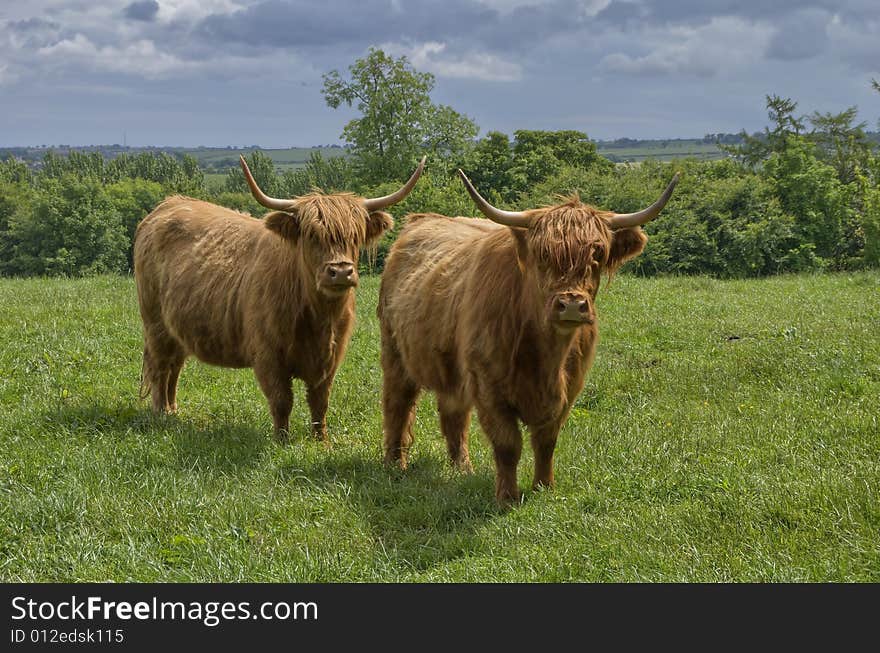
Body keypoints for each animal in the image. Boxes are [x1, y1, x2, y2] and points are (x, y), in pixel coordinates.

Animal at [135, 153, 426, 440]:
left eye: (355, 236)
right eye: (312, 236)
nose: (341, 272)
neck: (318, 316)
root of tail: (168, 204)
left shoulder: (331, 357)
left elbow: (320, 401)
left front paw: (321, 441)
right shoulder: (268, 355)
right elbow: (281, 400)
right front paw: (281, 440)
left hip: (177, 327)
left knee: (174, 365)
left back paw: (173, 410)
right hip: (155, 322)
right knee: (160, 365)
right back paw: (161, 414)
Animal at [380, 171, 680, 502]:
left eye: (598, 252)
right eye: (543, 254)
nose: (571, 304)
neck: (545, 355)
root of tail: (421, 220)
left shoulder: (570, 388)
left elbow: (546, 441)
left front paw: (545, 487)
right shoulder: (488, 386)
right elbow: (508, 444)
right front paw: (507, 497)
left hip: (450, 368)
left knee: (453, 414)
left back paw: (462, 469)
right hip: (394, 352)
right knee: (397, 404)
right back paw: (395, 463)